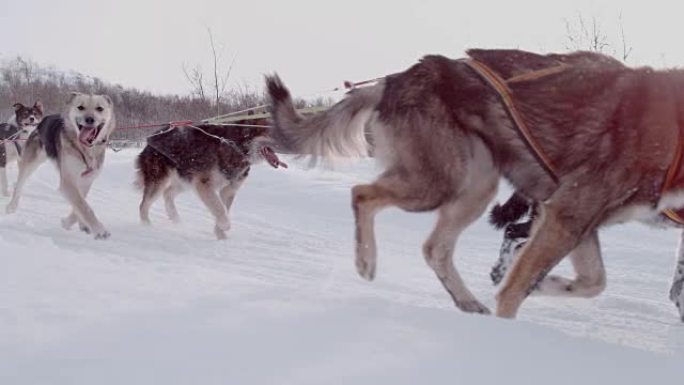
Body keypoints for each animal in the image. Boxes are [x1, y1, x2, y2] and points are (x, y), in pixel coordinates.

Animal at [5, 92, 116, 238]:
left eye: (99, 108)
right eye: (80, 107)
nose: (89, 119)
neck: (86, 150)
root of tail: (41, 122)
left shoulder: (86, 180)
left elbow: (80, 205)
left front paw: (74, 223)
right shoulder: (68, 181)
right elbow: (84, 206)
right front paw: (99, 229)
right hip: (29, 164)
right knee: (19, 185)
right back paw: (11, 206)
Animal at [136, 121, 286, 238]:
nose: (287, 142)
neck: (236, 145)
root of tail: (149, 141)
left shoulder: (229, 190)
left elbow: (223, 208)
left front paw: (220, 234)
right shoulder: (204, 184)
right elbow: (219, 209)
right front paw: (225, 225)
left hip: (186, 179)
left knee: (167, 193)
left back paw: (176, 219)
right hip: (160, 180)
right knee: (143, 205)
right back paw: (147, 226)